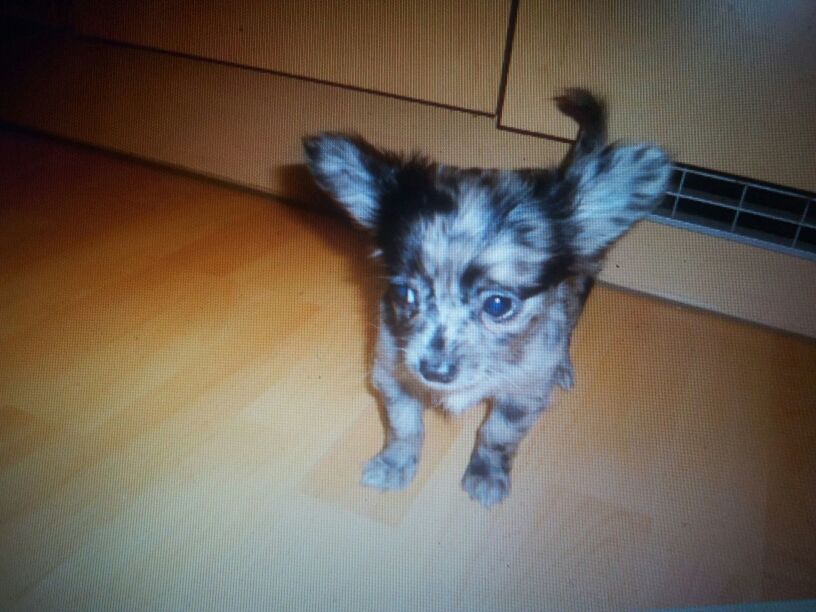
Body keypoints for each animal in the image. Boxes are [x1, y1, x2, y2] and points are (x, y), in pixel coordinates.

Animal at [302, 88, 672, 504]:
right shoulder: (392, 373)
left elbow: (497, 435)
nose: (434, 371)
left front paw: (486, 474)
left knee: (567, 326)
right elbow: (404, 426)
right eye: (404, 293)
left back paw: (561, 365)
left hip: (578, 291)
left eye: (498, 304)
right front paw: (394, 465)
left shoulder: (523, 395)